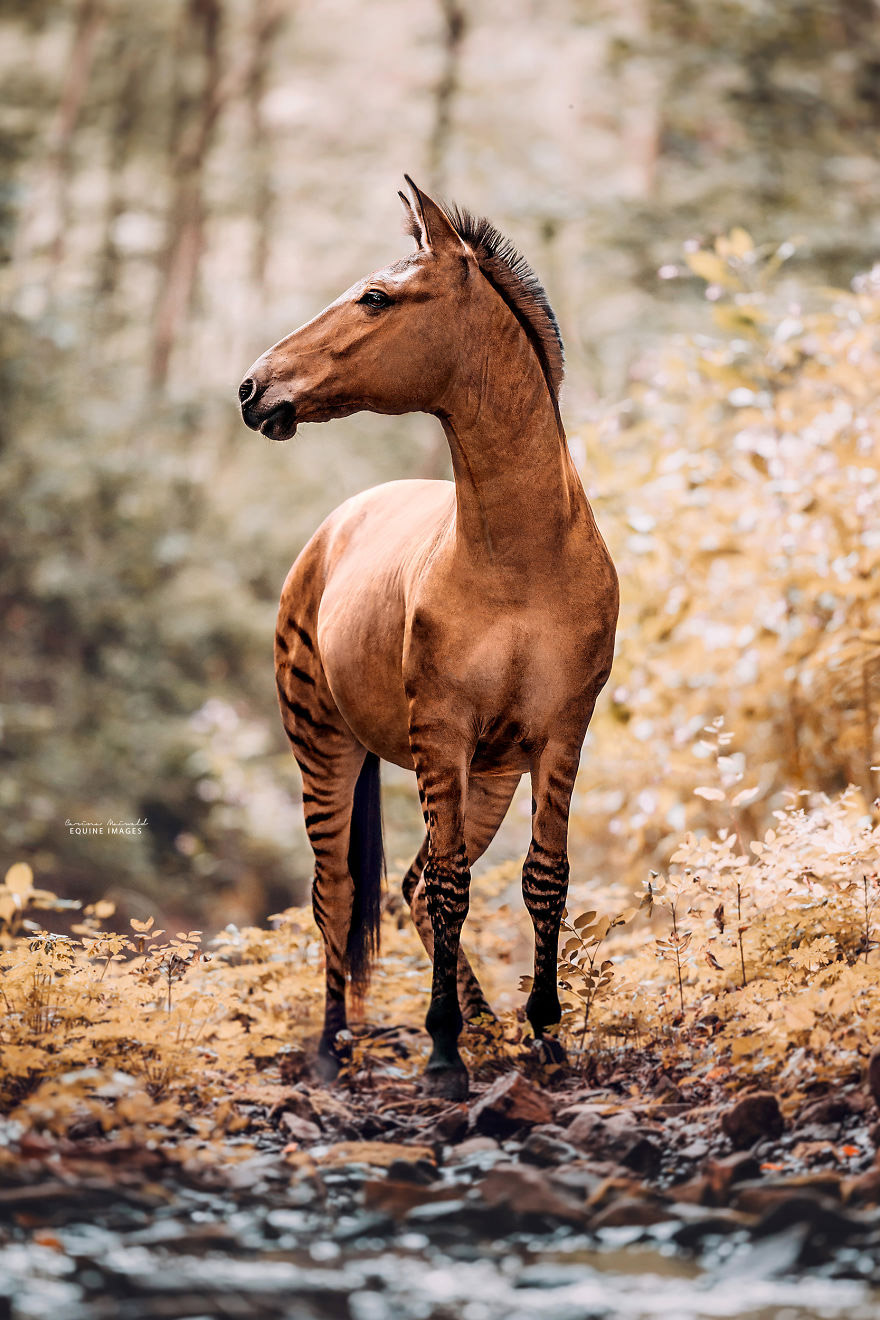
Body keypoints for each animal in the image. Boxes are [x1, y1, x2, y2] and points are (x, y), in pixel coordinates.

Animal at [237, 178, 617, 1103]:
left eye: (377, 297)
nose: (253, 388)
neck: (522, 555)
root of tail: (335, 526)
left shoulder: (560, 735)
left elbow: (541, 880)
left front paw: (544, 1039)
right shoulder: (439, 735)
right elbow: (449, 890)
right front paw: (443, 1054)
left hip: (493, 774)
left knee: (406, 885)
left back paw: (484, 1025)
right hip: (323, 746)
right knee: (339, 892)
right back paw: (335, 1047)